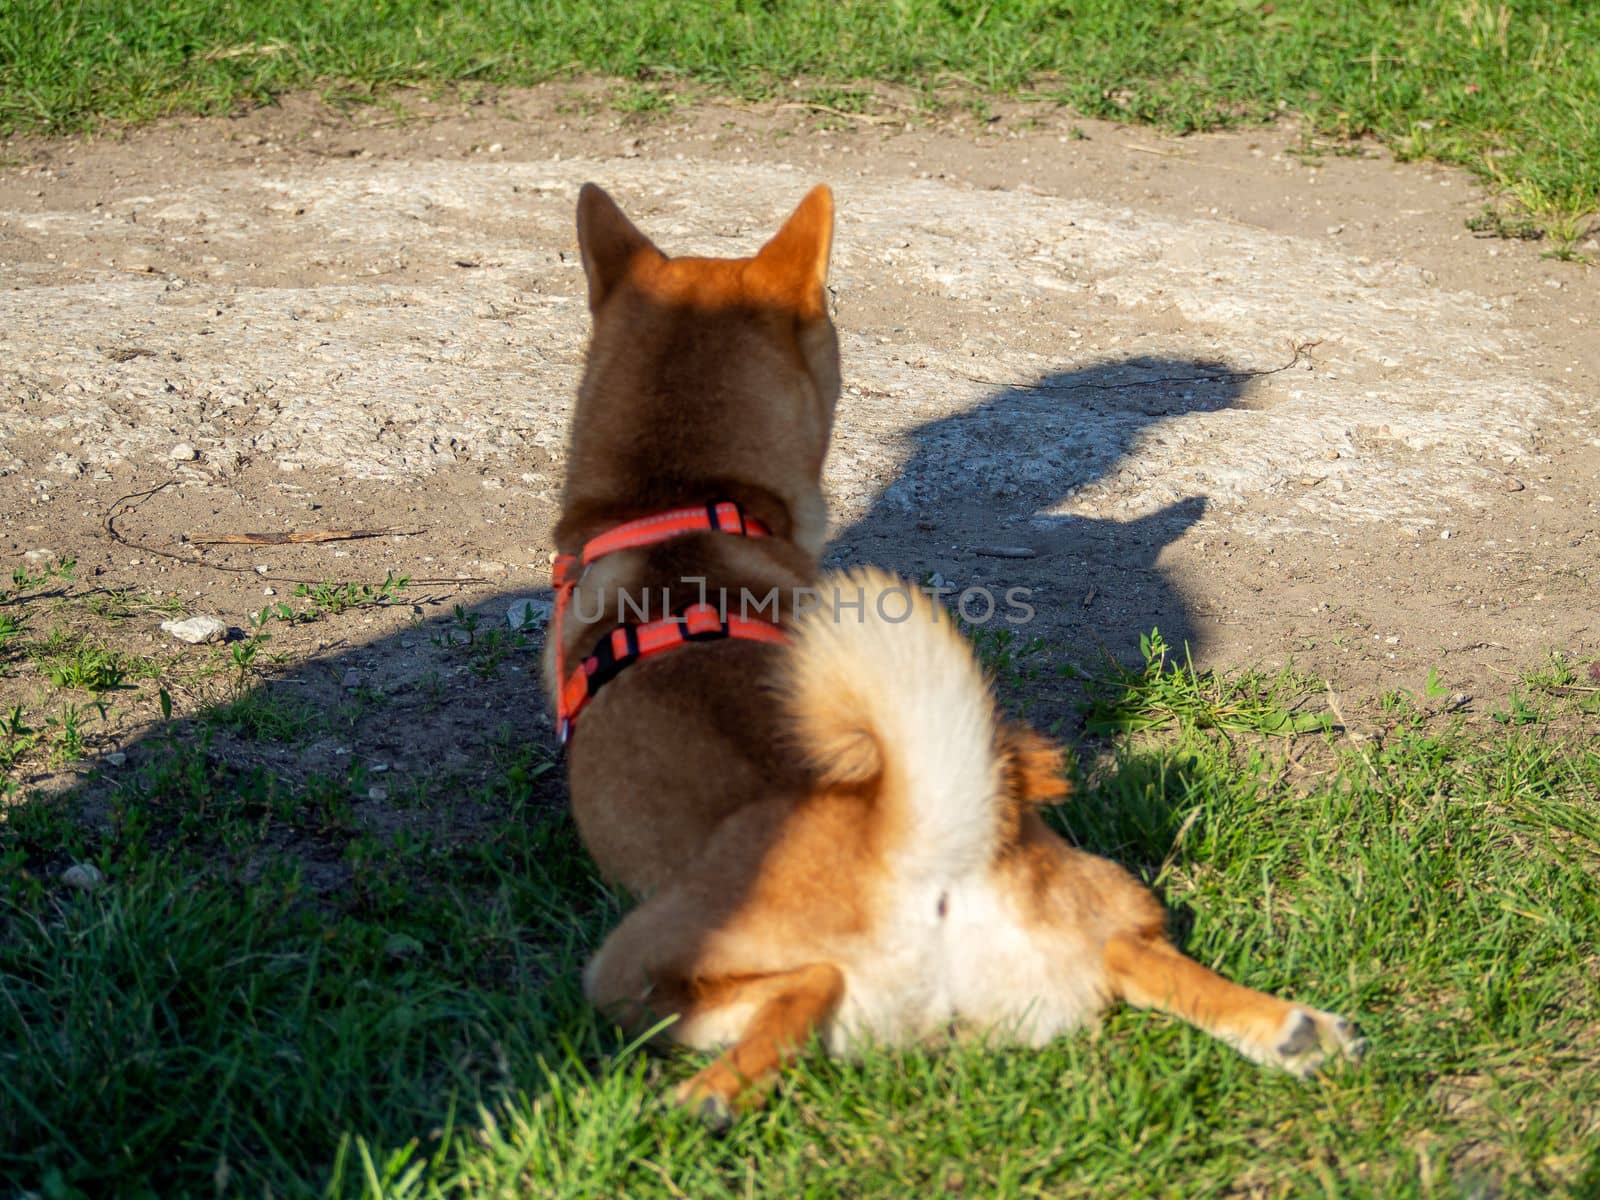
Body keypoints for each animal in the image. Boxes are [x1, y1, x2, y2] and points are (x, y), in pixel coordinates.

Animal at [547, 183, 1363, 1126]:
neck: (684, 508)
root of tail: (926, 849)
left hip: (625, 966)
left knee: (800, 989)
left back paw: (709, 1094)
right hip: (1103, 899)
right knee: (1139, 955)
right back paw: (1293, 1030)